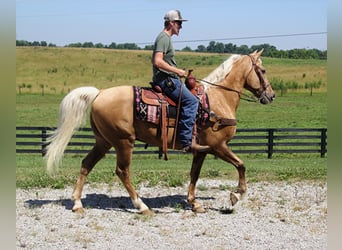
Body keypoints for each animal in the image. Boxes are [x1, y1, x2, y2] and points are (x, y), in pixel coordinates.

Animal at [45, 49, 276, 215]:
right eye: (263, 71)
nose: (271, 95)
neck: (217, 100)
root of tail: (99, 93)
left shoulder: (201, 150)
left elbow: (194, 174)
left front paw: (194, 203)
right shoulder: (218, 146)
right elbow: (241, 165)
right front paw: (237, 195)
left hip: (104, 141)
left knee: (86, 164)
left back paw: (77, 203)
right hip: (123, 142)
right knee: (122, 171)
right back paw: (141, 206)